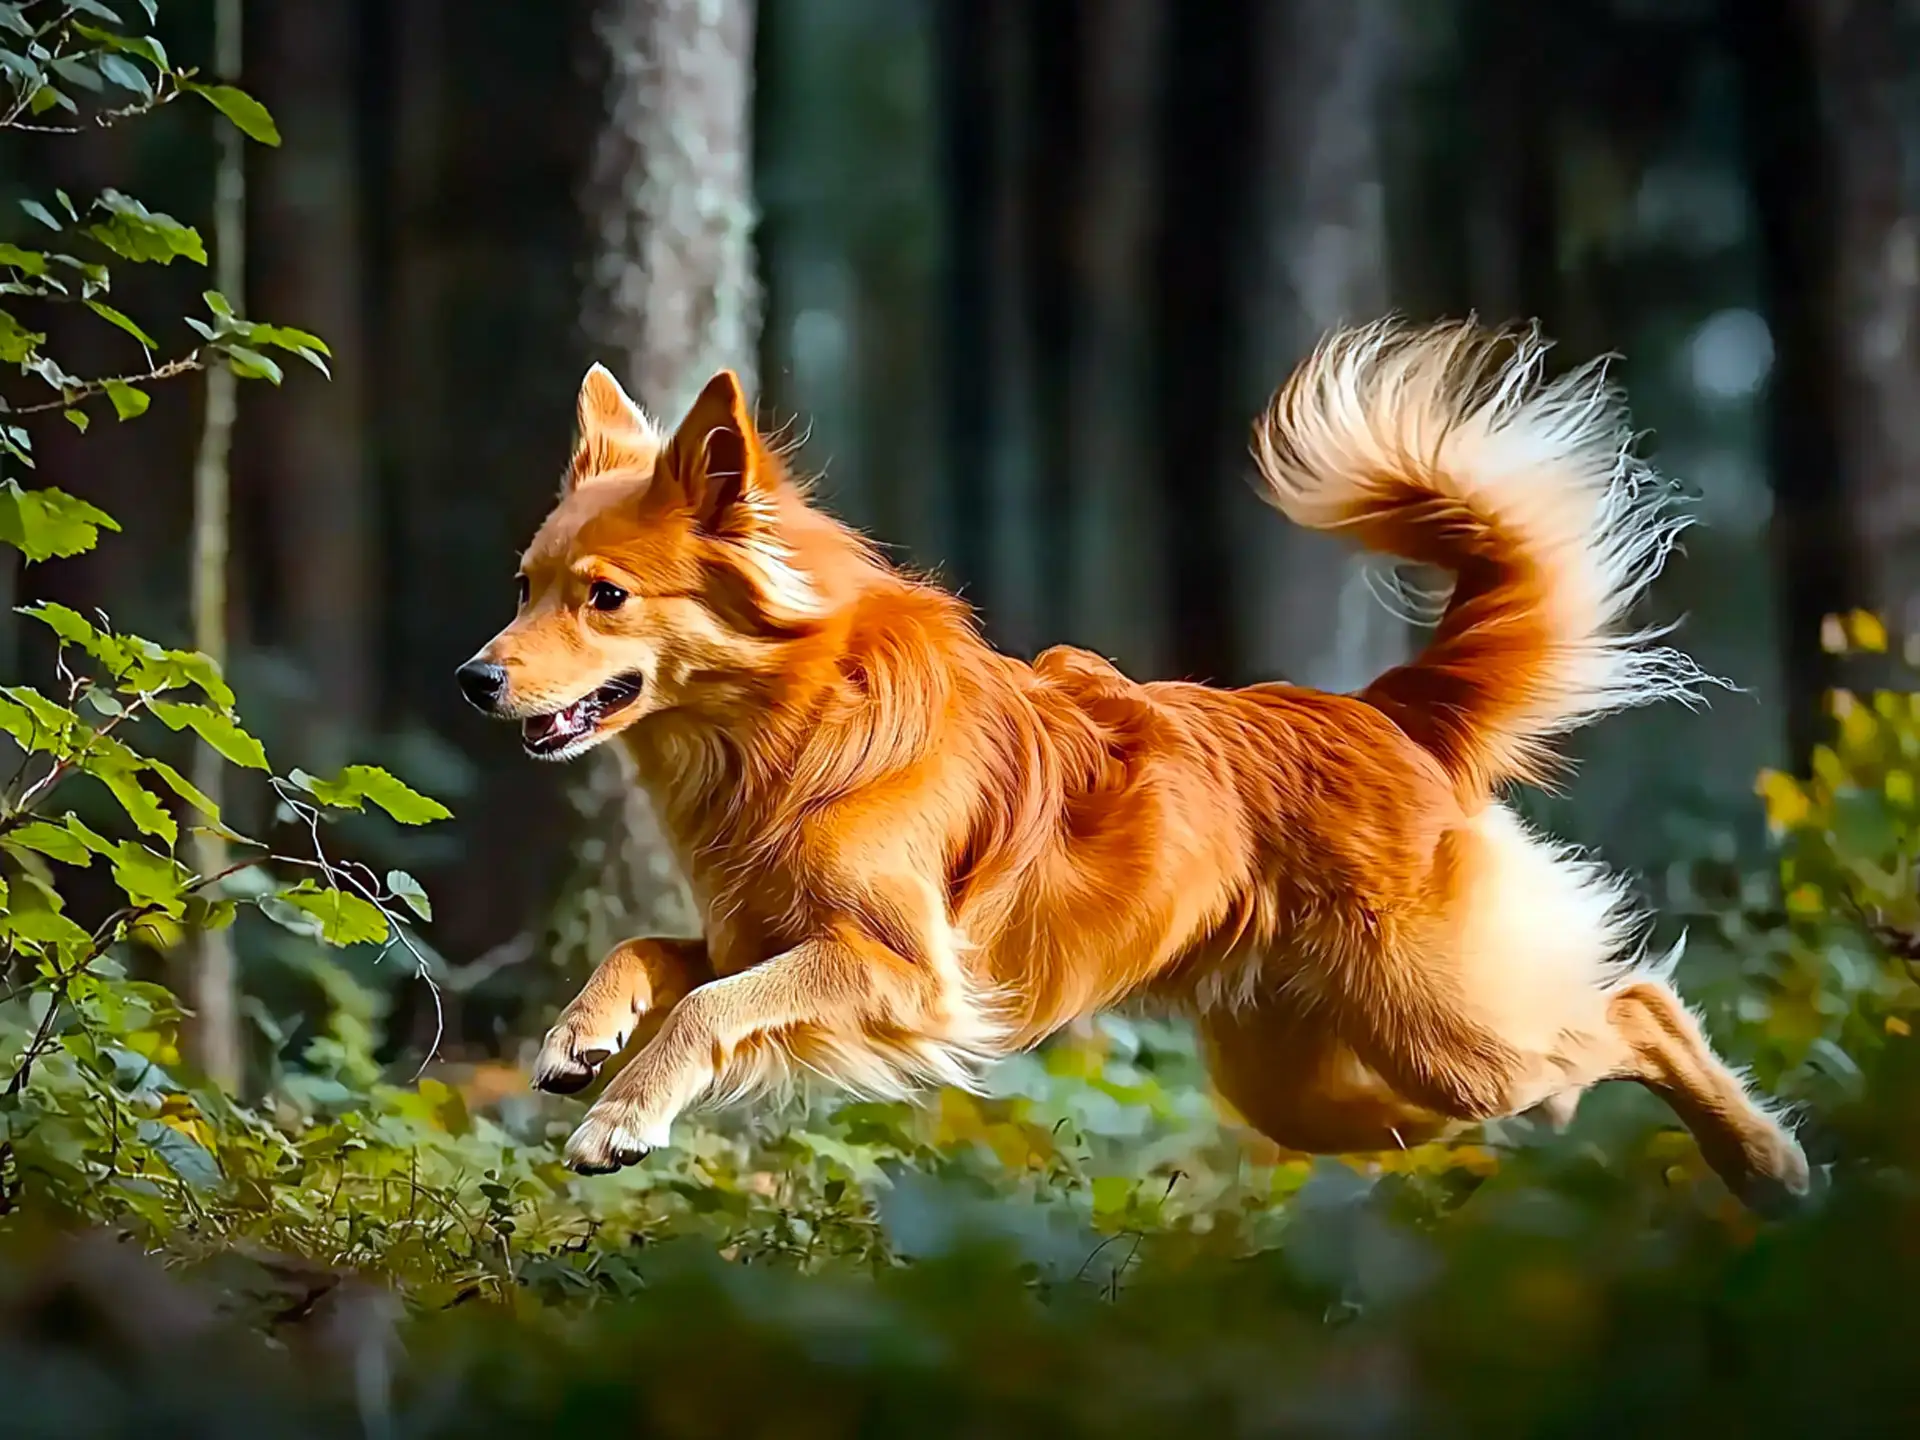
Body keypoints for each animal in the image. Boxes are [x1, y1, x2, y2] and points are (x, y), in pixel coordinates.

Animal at [456, 324, 1804, 1205]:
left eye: (605, 597)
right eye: (521, 588)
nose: (473, 679)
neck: (795, 729)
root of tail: (1390, 713)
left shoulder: (903, 971)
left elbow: (710, 1008)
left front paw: (626, 1113)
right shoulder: (758, 930)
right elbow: (654, 956)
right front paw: (580, 1038)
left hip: (1446, 1032)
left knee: (1632, 1010)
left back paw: (1767, 1163)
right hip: (1316, 1088)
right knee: (1550, 1071)